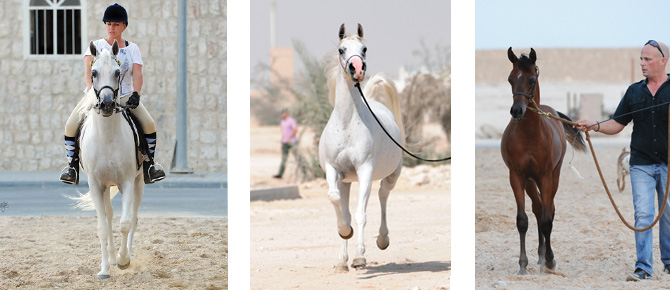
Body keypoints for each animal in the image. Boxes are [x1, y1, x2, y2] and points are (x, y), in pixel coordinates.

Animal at [70, 39, 145, 280]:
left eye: (117, 72)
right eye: (93, 72)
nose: (107, 105)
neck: (106, 136)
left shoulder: (128, 181)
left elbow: (125, 223)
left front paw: (123, 260)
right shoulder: (95, 184)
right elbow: (102, 227)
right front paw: (104, 269)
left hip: (139, 182)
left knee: (133, 216)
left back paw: (123, 256)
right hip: (105, 187)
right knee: (109, 215)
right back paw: (111, 258)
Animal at [318, 23, 404, 274]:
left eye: (364, 49)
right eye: (341, 50)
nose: (357, 69)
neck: (347, 123)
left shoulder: (365, 170)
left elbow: (360, 215)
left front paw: (359, 258)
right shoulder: (333, 170)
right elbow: (337, 202)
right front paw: (344, 233)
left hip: (391, 176)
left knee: (383, 195)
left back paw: (382, 240)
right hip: (347, 181)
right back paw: (341, 260)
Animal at [502, 47, 584, 274]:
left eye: (531, 79)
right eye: (510, 79)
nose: (517, 111)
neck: (530, 136)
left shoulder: (546, 176)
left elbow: (548, 220)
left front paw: (550, 260)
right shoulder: (516, 177)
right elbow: (522, 220)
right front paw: (523, 264)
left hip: (553, 176)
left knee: (549, 210)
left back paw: (546, 257)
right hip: (530, 181)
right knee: (538, 209)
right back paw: (539, 256)